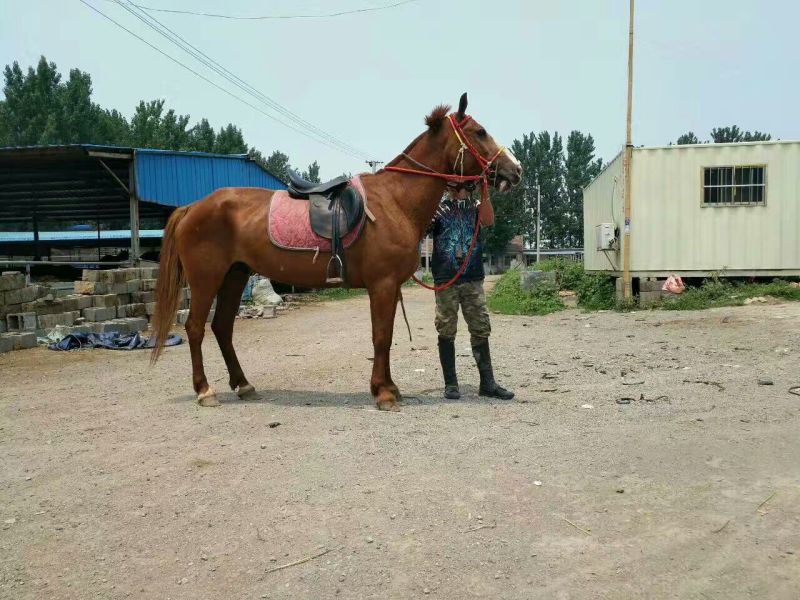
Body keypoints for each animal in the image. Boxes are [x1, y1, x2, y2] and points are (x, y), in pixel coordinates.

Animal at [150, 93, 522, 411]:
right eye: (480, 132)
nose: (515, 169)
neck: (395, 201)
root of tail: (193, 206)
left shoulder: (389, 287)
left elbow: (385, 337)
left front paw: (388, 387)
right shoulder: (382, 285)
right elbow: (381, 337)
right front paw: (384, 393)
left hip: (234, 275)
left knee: (222, 328)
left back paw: (243, 385)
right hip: (206, 278)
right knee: (196, 328)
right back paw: (205, 391)